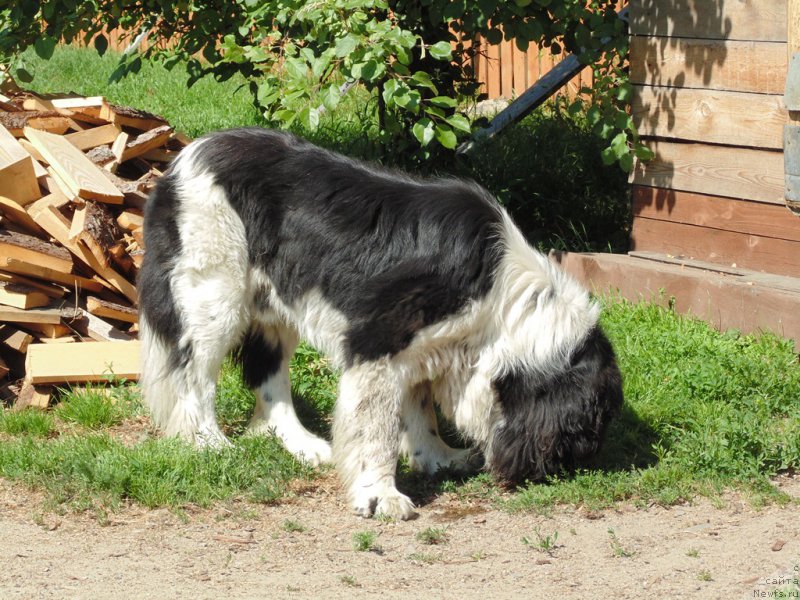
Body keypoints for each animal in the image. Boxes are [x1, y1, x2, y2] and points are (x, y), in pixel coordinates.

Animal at [139, 127, 624, 520]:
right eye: (586, 428)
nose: (573, 464)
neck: (505, 301)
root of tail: (185, 156)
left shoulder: (424, 351)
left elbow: (419, 412)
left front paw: (438, 458)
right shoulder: (376, 347)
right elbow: (377, 431)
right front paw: (382, 496)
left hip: (273, 307)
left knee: (268, 379)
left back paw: (303, 444)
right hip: (214, 294)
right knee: (194, 376)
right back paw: (209, 443)